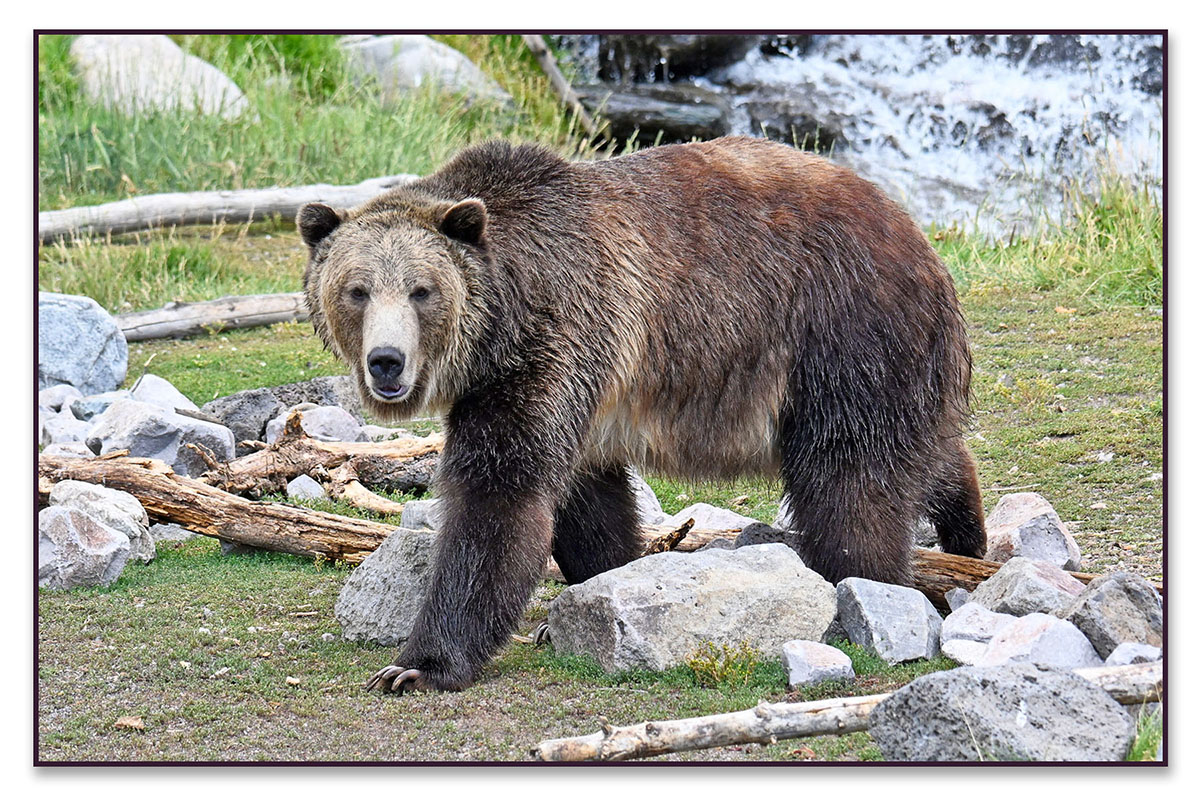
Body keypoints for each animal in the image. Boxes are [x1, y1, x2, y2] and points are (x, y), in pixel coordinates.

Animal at [297, 136, 987, 693]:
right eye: (356, 290)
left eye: (422, 290)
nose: (387, 361)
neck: (502, 324)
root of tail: (918, 237)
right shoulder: (570, 389)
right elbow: (585, 506)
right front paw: (600, 589)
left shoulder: (558, 341)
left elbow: (496, 499)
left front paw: (417, 664)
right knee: (925, 449)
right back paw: (966, 532)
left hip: (839, 332)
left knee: (849, 480)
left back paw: (864, 588)